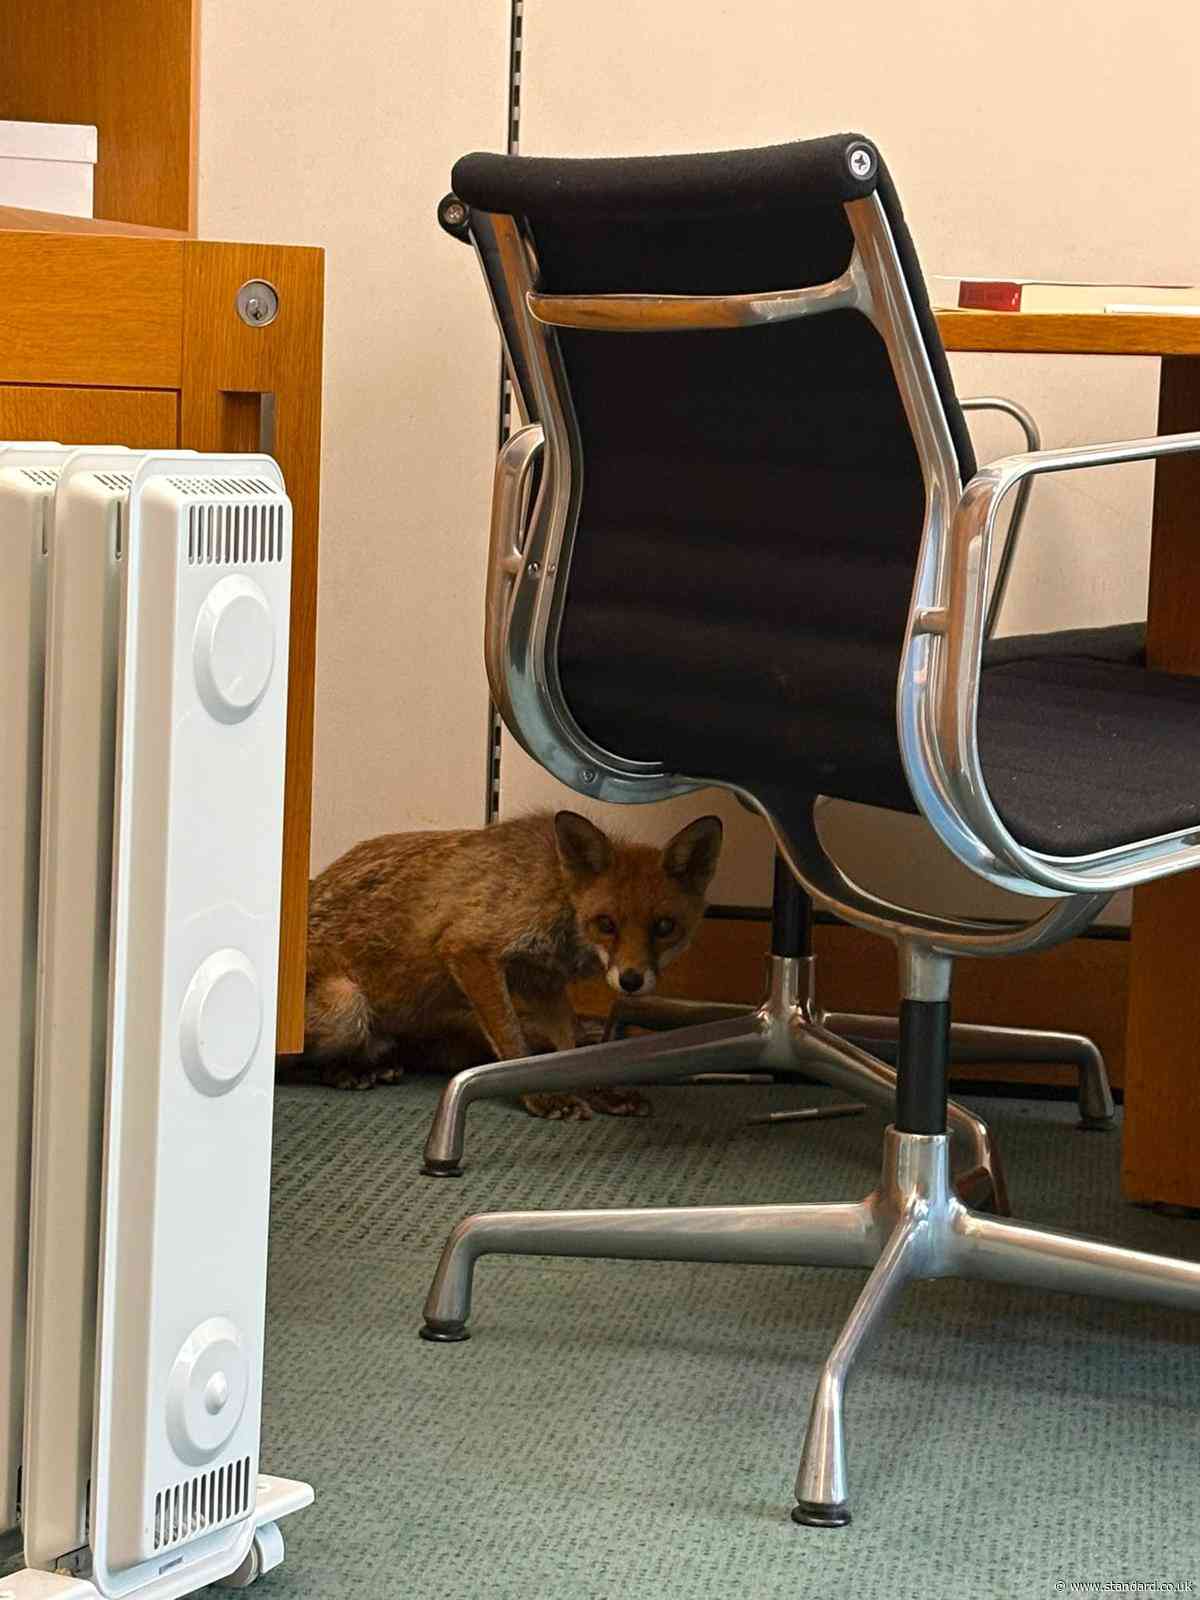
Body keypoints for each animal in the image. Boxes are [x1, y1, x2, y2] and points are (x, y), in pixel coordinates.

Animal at [301, 809, 723, 1119]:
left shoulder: (540, 981)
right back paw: (347, 1072)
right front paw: (540, 1097)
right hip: (347, 1005)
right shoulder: (470, 950)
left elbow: (572, 1050)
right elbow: (514, 1045)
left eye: (664, 927)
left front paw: (598, 1091)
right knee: (302, 1061)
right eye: (606, 924)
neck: (553, 889)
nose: (631, 981)